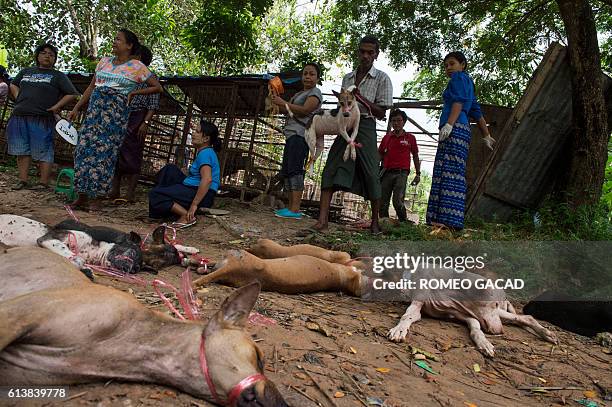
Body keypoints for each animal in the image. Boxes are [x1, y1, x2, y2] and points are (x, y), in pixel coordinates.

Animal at [196, 239, 560, 356]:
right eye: (489, 303)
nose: (496, 331)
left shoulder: (469, 315)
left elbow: (472, 329)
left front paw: (485, 343)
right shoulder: (440, 308)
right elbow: (410, 316)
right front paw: (399, 329)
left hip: (509, 316)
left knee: (524, 317)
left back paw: (544, 333)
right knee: (523, 316)